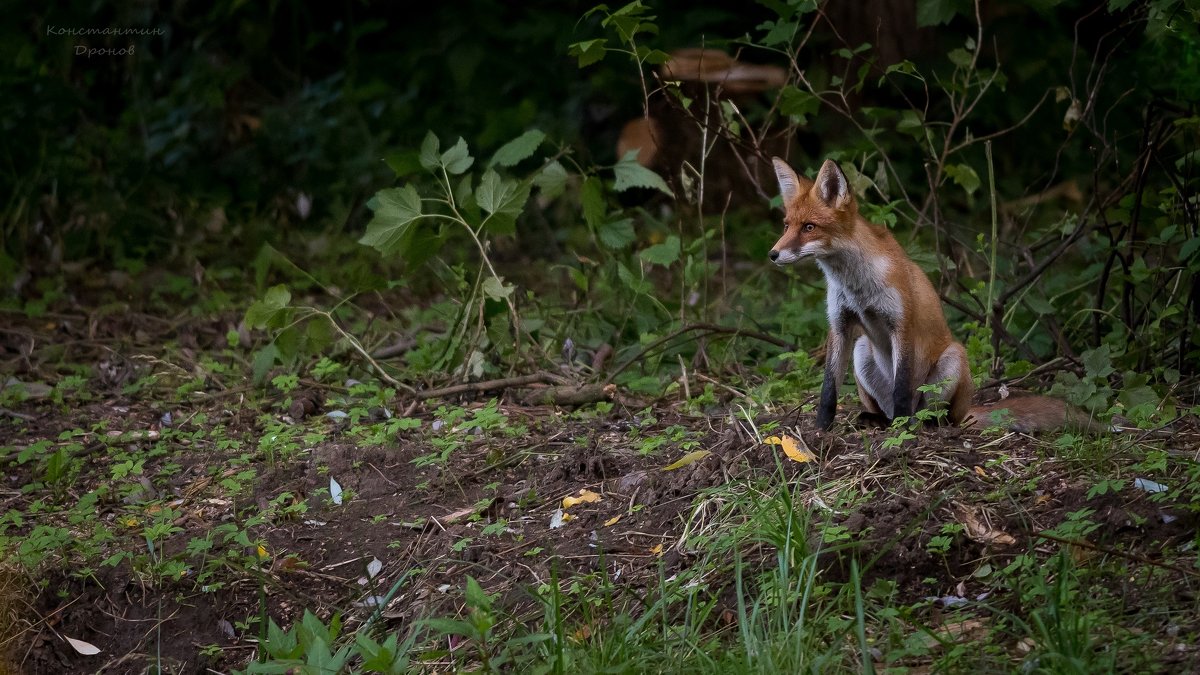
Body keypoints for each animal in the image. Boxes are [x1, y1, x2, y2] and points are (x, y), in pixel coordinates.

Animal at [768, 156, 1104, 429]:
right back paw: (878, 420)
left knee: (934, 414)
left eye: (809, 227)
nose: (772, 254)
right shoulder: (840, 324)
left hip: (953, 359)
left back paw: (921, 424)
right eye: (786, 226)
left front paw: (902, 433)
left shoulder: (900, 324)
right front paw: (820, 430)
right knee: (885, 409)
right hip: (862, 349)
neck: (856, 285)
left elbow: (902, 386)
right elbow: (828, 389)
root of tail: (968, 411)